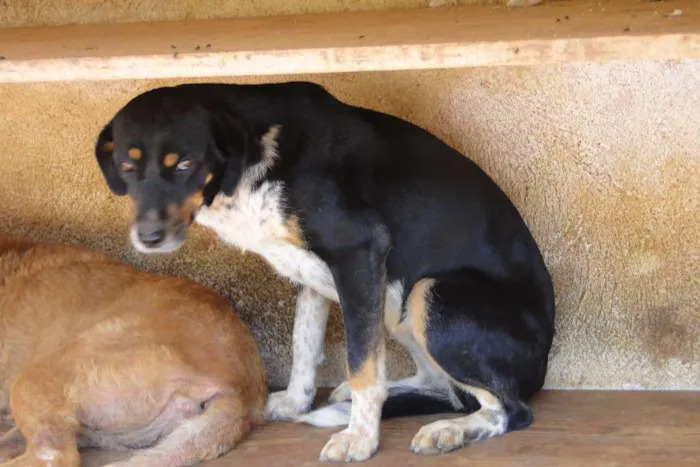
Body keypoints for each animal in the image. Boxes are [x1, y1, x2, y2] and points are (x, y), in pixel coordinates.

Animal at [94, 81, 556, 464]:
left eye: (186, 163)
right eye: (127, 167)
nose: (148, 238)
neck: (259, 155)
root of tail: (540, 369)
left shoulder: (359, 252)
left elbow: (362, 366)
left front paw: (360, 439)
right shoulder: (312, 274)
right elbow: (305, 346)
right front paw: (296, 404)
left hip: (429, 292)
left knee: (508, 409)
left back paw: (450, 430)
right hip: (398, 305)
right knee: (445, 385)